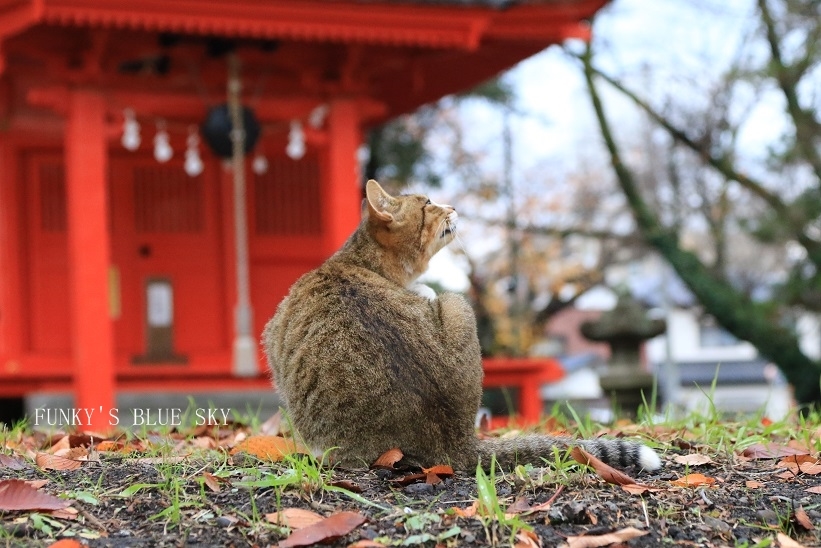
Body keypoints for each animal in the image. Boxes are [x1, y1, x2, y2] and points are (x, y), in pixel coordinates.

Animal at [262, 180, 660, 470]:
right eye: (427, 203)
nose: (453, 206)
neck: (357, 262)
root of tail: (456, 439)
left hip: (456, 303)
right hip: (458, 304)